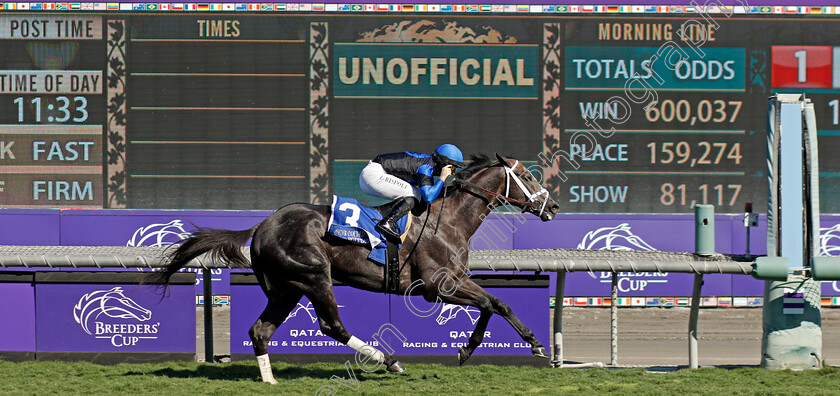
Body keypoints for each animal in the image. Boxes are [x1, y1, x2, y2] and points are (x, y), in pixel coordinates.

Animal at [148, 155, 560, 384]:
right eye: (528, 176)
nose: (553, 206)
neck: (447, 220)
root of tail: (263, 225)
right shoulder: (437, 286)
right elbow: (492, 303)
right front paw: (479, 348)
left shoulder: (456, 281)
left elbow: (498, 303)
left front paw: (527, 345)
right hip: (314, 276)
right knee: (332, 325)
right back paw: (387, 361)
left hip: (287, 288)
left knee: (259, 330)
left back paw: (270, 380)